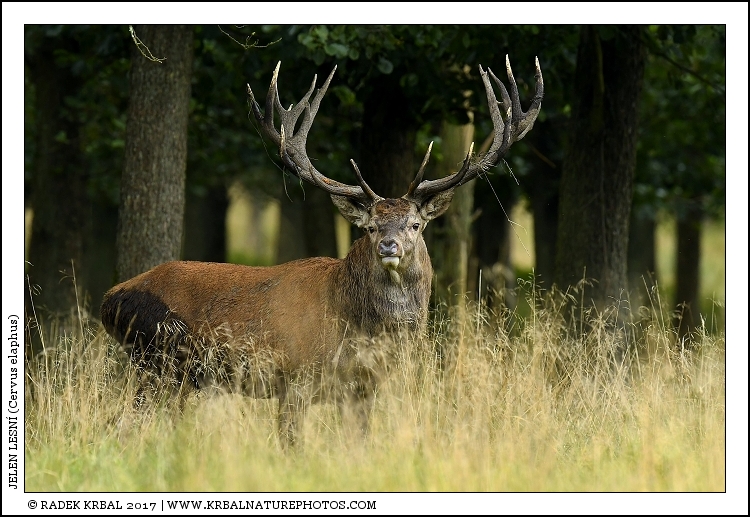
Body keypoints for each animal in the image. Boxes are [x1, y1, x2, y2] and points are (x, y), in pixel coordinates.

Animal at [101, 56, 543, 447]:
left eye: (415, 225)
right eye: (369, 227)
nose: (389, 245)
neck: (357, 329)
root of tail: (109, 298)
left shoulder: (363, 390)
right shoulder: (293, 378)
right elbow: (292, 447)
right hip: (159, 360)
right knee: (122, 425)